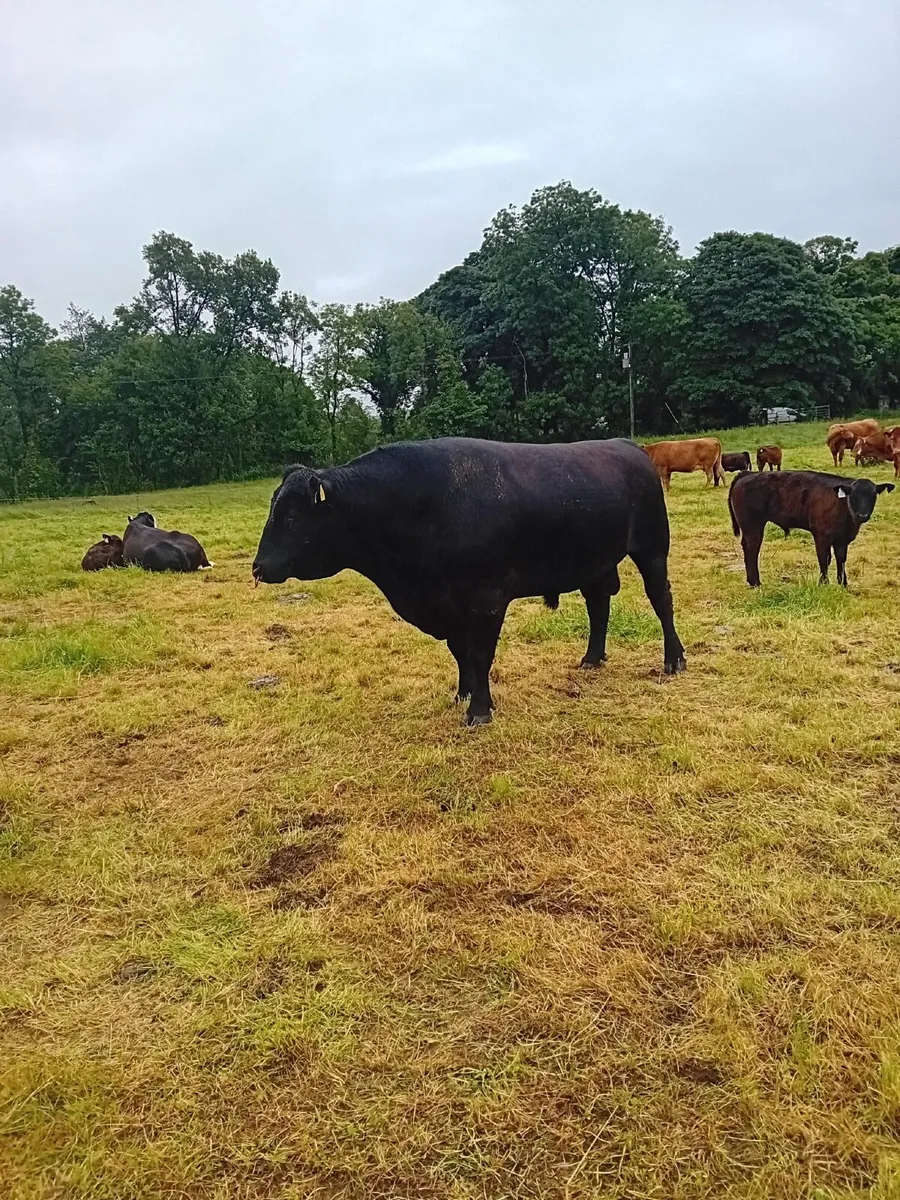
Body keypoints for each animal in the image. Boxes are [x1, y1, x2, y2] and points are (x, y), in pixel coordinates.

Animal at [252, 438, 686, 726]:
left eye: (291, 517)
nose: (258, 567)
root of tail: (628, 445)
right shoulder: (448, 604)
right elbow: (459, 652)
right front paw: (463, 693)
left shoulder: (487, 599)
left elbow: (479, 654)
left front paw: (479, 710)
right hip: (593, 564)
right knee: (598, 606)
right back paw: (592, 658)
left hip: (652, 549)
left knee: (660, 600)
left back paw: (674, 659)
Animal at [728, 470, 893, 588]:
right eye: (853, 495)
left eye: (873, 495)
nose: (863, 515)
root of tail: (747, 474)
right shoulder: (821, 536)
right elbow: (823, 558)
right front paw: (824, 583)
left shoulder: (841, 539)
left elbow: (840, 559)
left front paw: (843, 583)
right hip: (752, 526)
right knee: (752, 548)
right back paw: (755, 582)